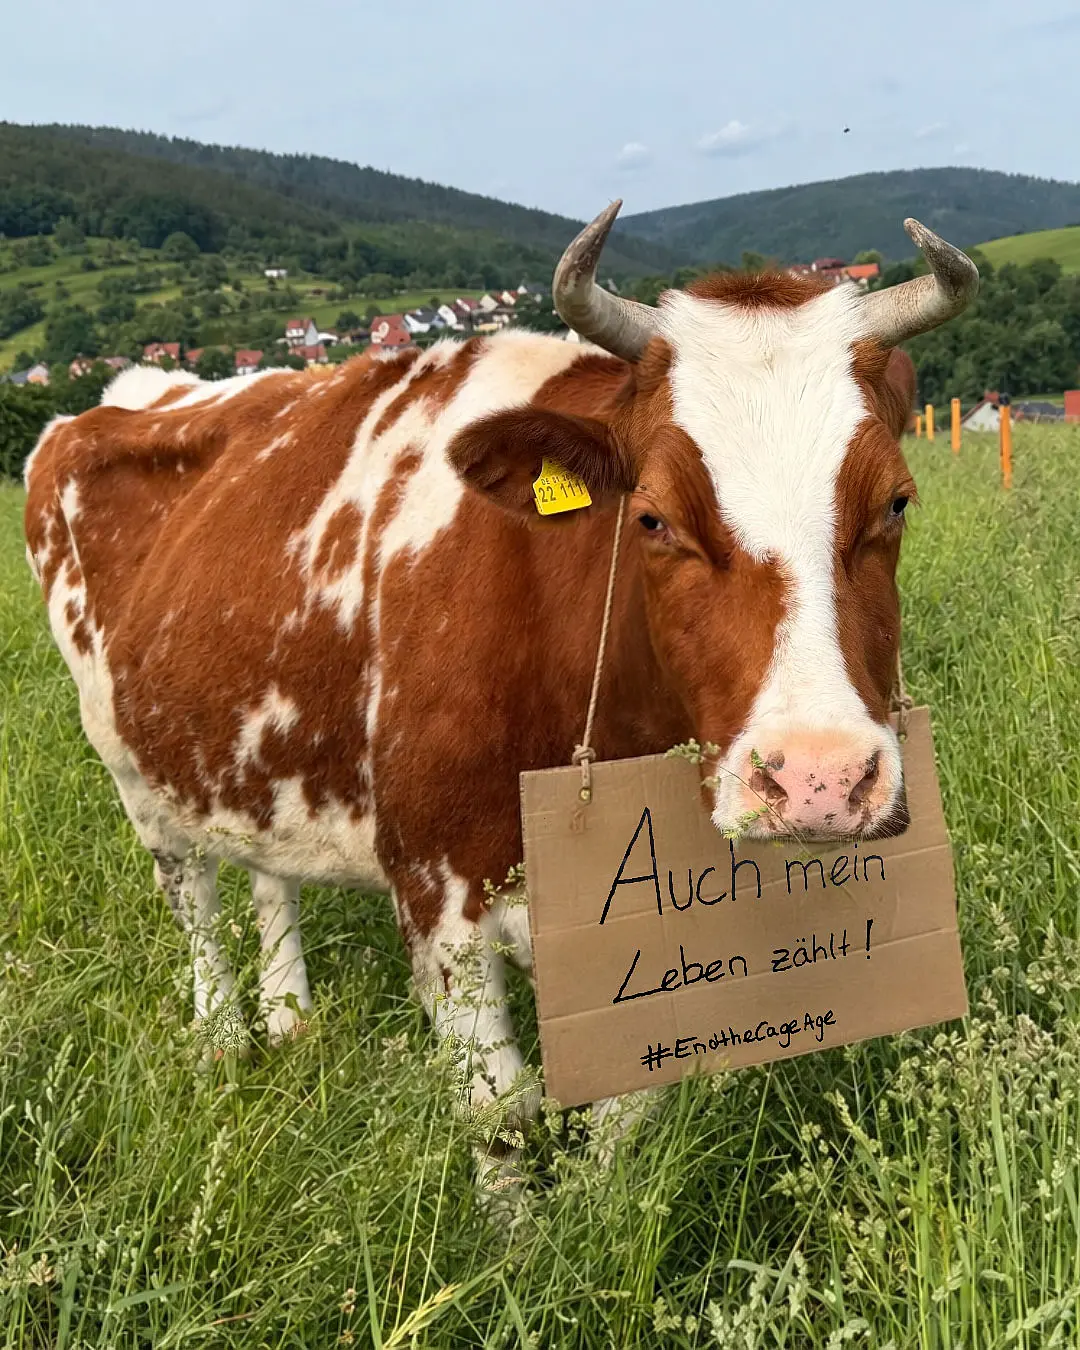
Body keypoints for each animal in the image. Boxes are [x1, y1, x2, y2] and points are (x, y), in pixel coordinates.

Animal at [24, 205, 976, 1181]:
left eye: (896, 503)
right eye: (652, 516)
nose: (821, 779)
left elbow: (624, 1112)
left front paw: (595, 1205)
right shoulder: (436, 893)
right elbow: (499, 1116)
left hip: (247, 746)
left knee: (266, 873)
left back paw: (289, 1019)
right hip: (130, 770)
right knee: (195, 898)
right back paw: (224, 1035)